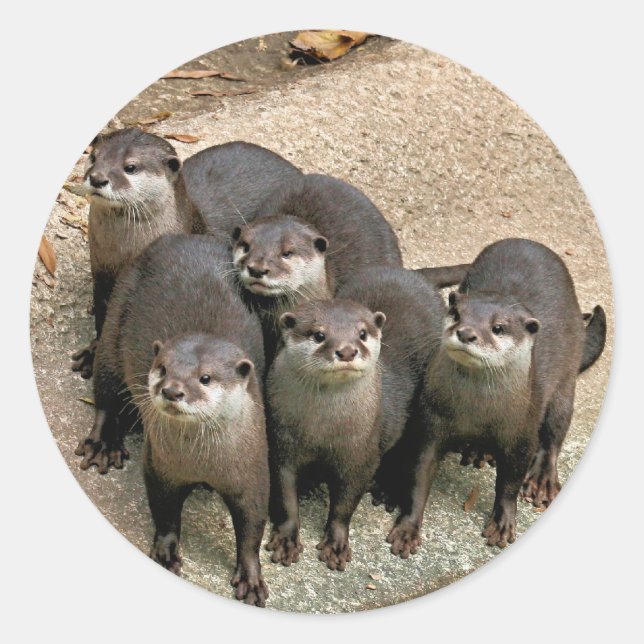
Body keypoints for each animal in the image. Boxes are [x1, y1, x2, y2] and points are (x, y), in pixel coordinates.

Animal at [71, 128, 205, 379]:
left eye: (130, 167)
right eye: (94, 157)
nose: (97, 178)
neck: (123, 256)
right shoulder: (100, 275)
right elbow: (102, 315)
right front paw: (92, 351)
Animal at [75, 234, 268, 606]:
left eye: (205, 378)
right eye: (162, 368)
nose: (172, 390)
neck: (202, 462)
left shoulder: (253, 471)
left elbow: (252, 524)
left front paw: (252, 577)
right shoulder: (160, 465)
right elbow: (164, 510)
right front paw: (166, 551)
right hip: (115, 324)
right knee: (106, 389)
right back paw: (104, 443)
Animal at [265, 267, 445, 571]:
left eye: (362, 333)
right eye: (318, 334)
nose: (347, 350)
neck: (321, 431)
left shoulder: (361, 454)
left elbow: (345, 504)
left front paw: (337, 544)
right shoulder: (281, 442)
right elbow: (285, 497)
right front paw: (286, 539)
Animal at [386, 238, 606, 556]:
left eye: (498, 327)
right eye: (456, 315)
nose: (466, 333)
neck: (478, 412)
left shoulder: (521, 432)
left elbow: (510, 482)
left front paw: (503, 523)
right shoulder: (430, 422)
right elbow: (418, 477)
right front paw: (407, 527)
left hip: (564, 380)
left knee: (556, 429)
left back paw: (543, 479)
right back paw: (479, 452)